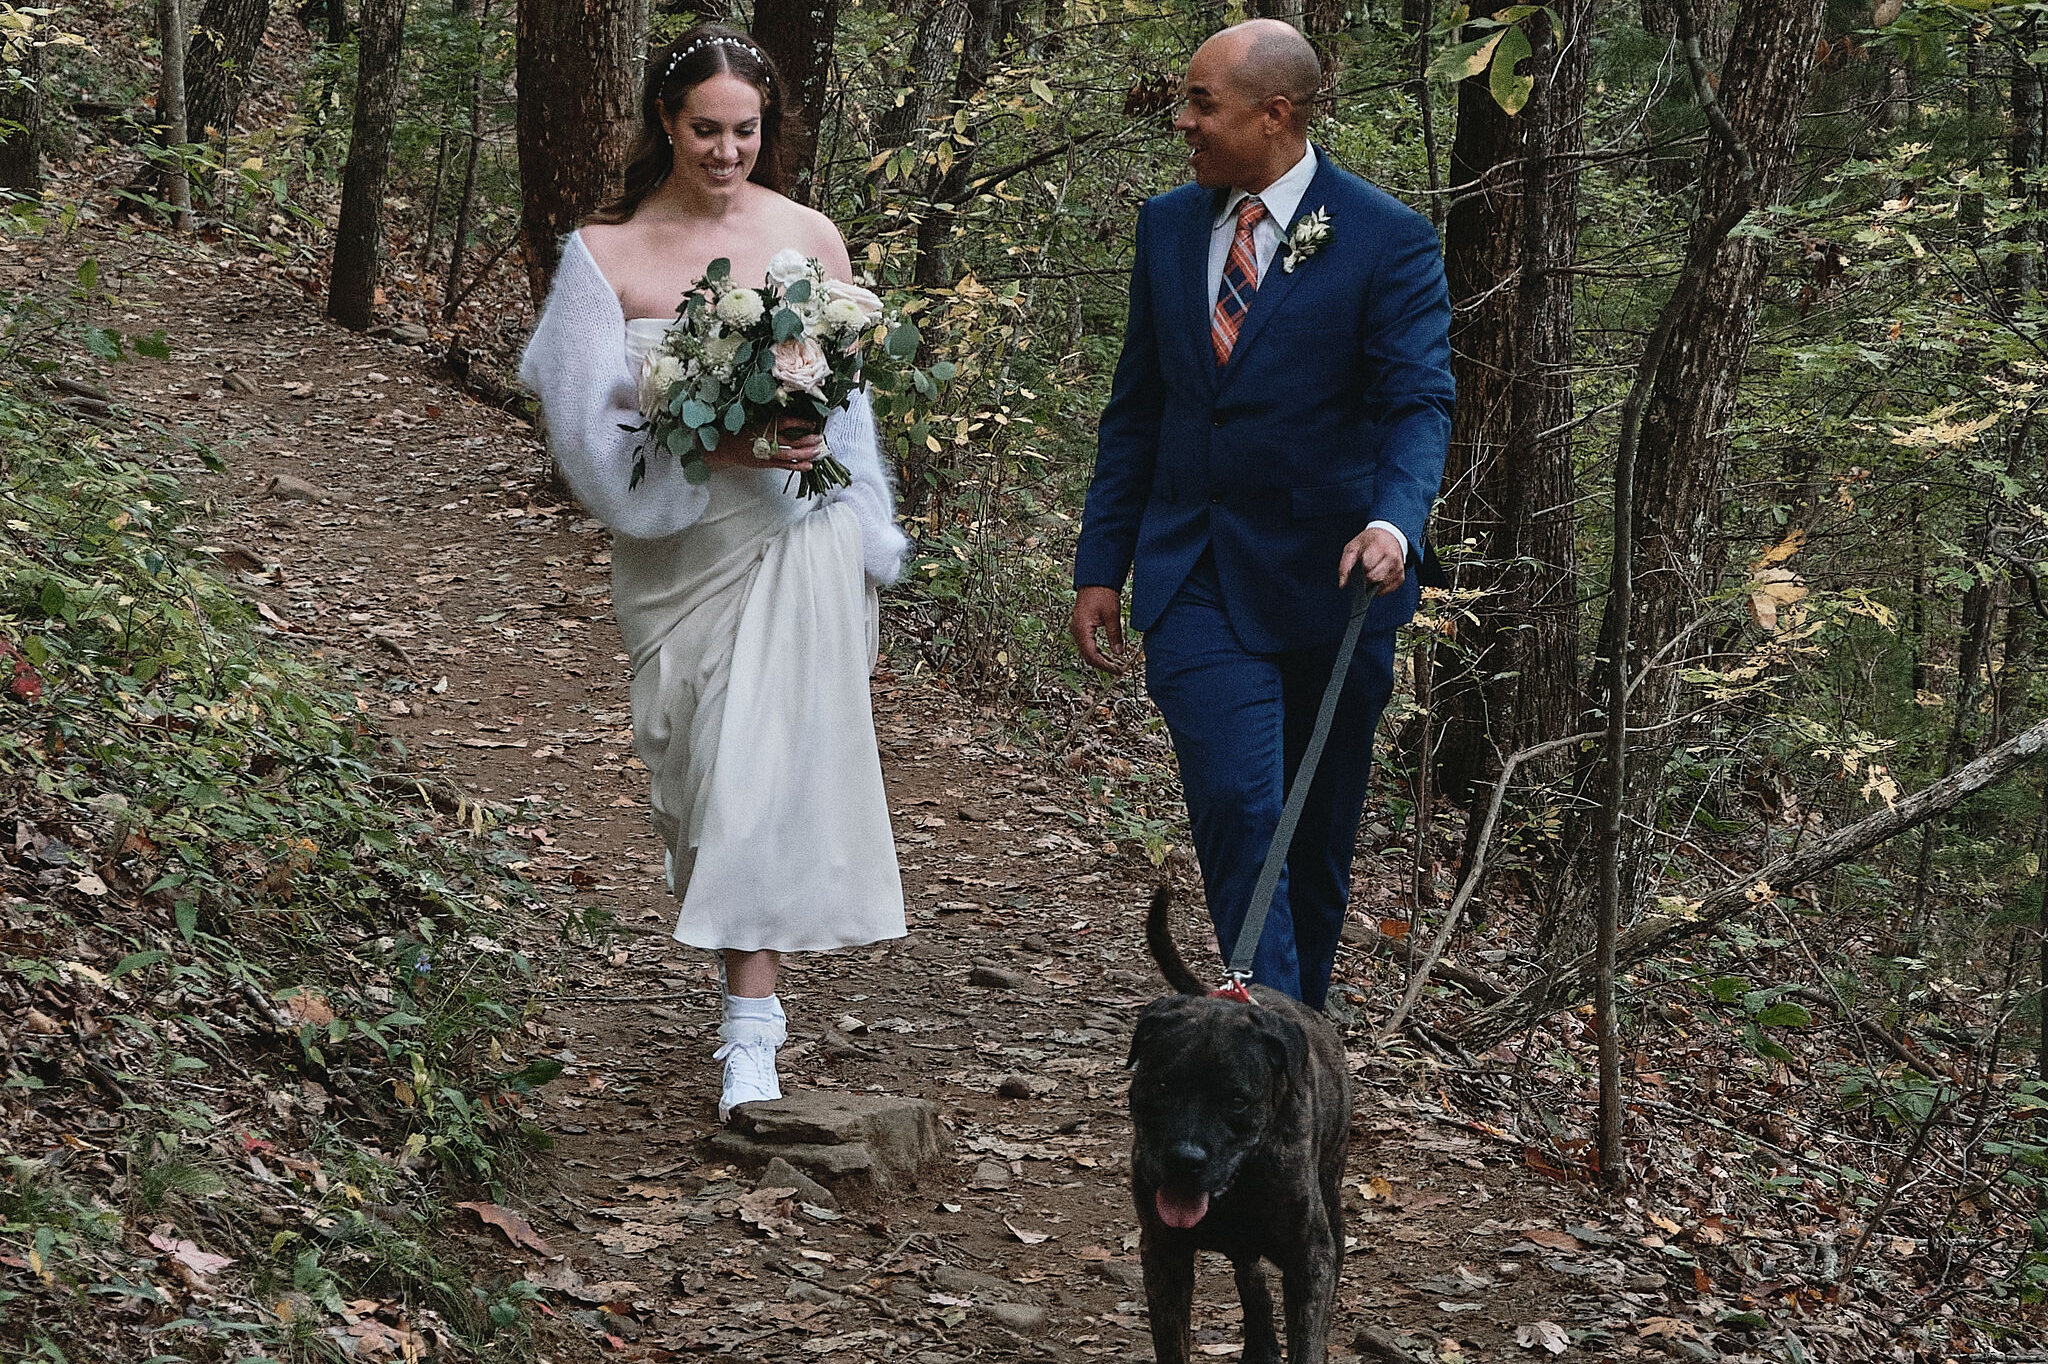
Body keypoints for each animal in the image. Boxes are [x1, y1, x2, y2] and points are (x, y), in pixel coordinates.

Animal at [1130, 888, 1351, 1351]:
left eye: (1236, 1100)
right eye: (1161, 1087)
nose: (1184, 1159)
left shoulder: (1310, 1259)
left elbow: (1308, 1340)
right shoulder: (1163, 1254)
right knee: (1250, 1277)